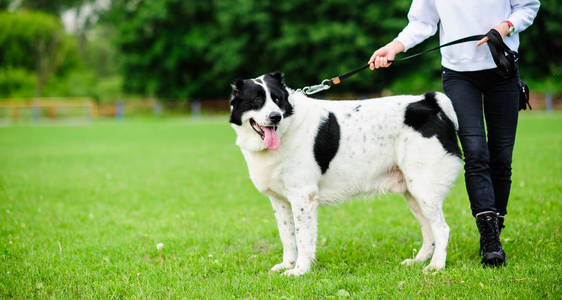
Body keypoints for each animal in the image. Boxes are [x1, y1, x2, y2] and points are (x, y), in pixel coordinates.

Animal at [228, 71, 460, 276]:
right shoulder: (280, 201)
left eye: (277, 99)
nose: (276, 116)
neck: (287, 127)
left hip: (424, 189)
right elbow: (288, 237)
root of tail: (428, 102)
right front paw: (288, 265)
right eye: (256, 100)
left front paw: (300, 270)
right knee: (428, 230)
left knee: (442, 229)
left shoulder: (303, 197)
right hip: (413, 193)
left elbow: (303, 239)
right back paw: (418, 260)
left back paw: (436, 266)